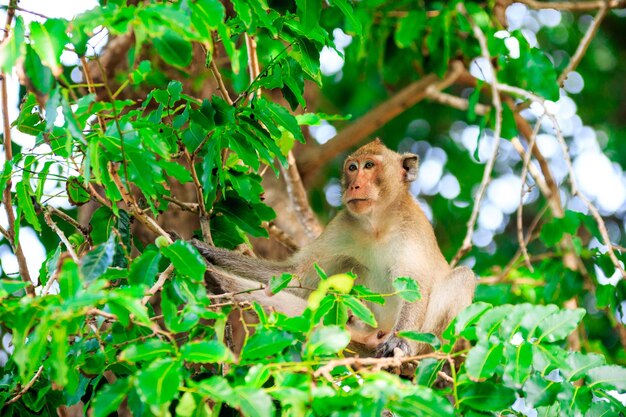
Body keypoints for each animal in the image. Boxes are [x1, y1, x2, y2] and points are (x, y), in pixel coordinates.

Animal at [196, 138, 478, 356]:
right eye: (352, 168)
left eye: (369, 165)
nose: (354, 185)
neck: (376, 224)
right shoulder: (341, 226)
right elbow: (291, 277)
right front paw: (208, 252)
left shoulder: (413, 230)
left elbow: (415, 286)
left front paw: (400, 341)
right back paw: (217, 280)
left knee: (463, 277)